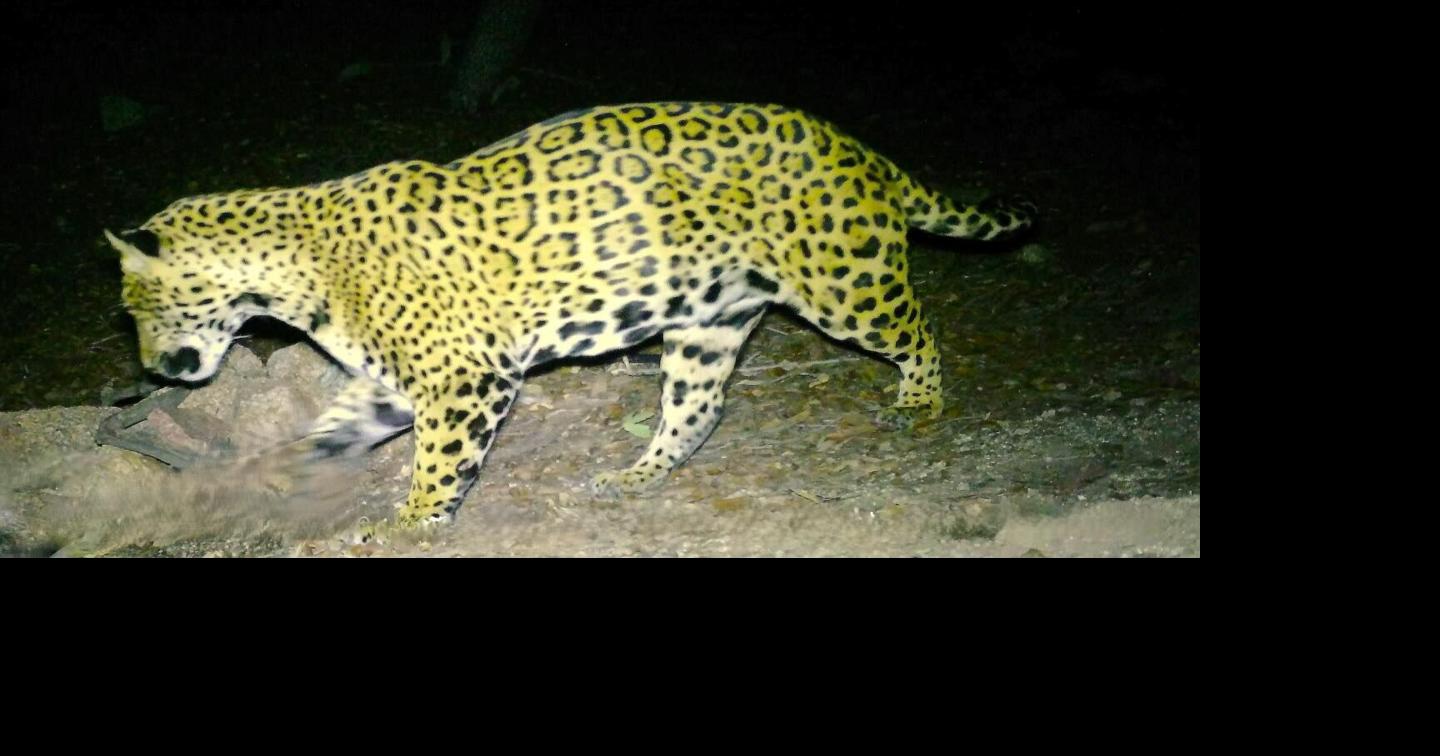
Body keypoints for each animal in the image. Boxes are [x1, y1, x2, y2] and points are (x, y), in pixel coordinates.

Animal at [105, 102, 1034, 526]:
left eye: (138, 304)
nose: (149, 368)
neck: (290, 270)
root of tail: (853, 143)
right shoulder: (396, 384)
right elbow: (330, 430)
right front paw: (289, 473)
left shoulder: (465, 380)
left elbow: (437, 464)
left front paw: (412, 524)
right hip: (707, 323)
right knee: (697, 411)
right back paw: (635, 476)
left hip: (847, 284)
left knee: (920, 328)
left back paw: (920, 402)